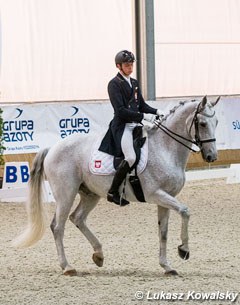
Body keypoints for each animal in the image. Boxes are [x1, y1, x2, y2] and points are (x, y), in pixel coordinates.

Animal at [12, 95, 219, 276]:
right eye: (202, 124)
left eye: (216, 122)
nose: (211, 156)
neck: (165, 149)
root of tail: (52, 148)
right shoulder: (156, 194)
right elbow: (185, 211)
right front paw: (184, 250)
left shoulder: (166, 198)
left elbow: (163, 232)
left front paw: (167, 266)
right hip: (66, 194)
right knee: (58, 226)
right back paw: (67, 267)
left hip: (90, 194)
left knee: (77, 218)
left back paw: (98, 255)